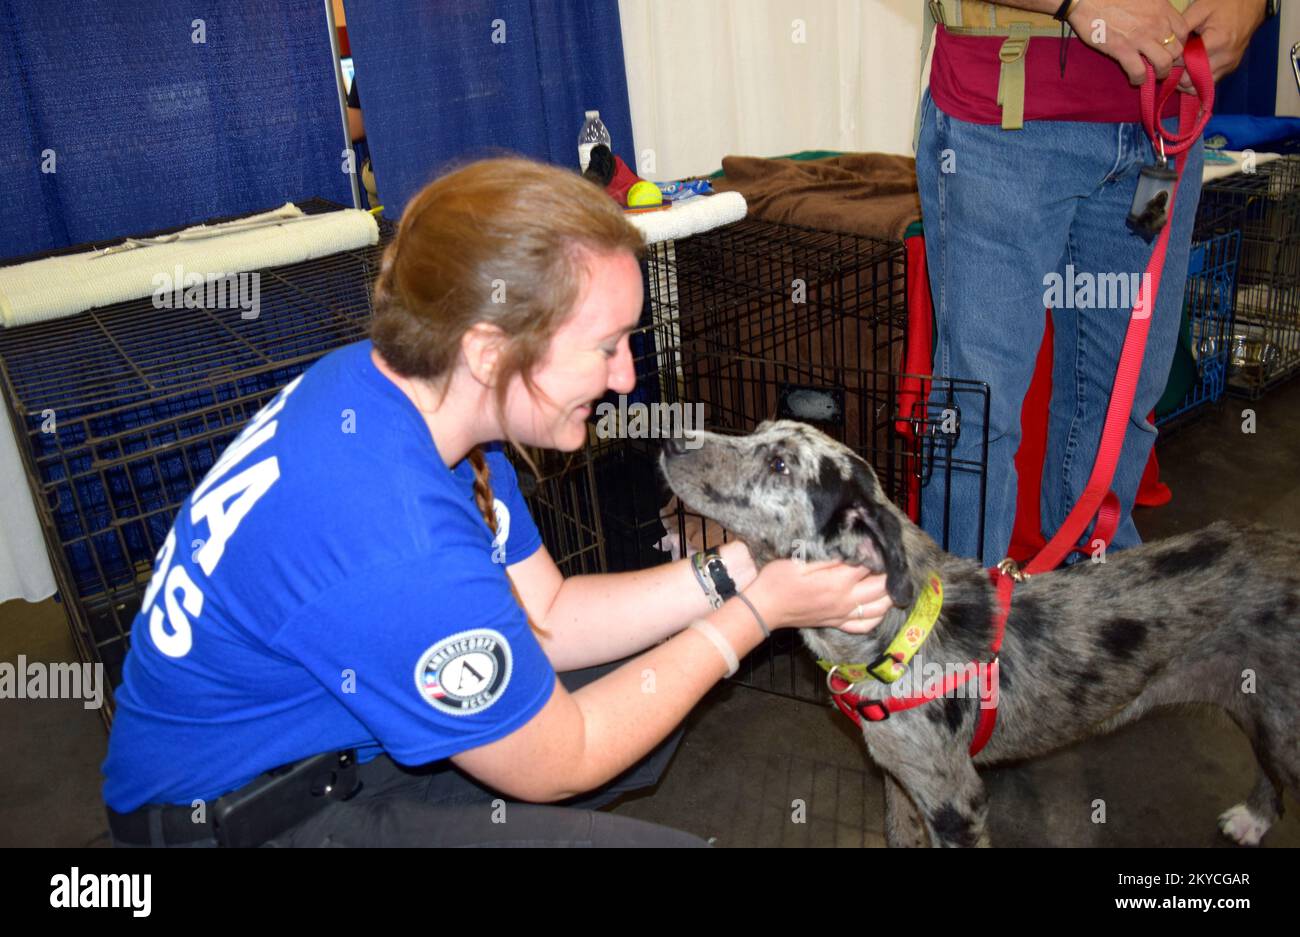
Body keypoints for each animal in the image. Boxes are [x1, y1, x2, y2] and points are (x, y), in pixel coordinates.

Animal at [660, 421, 1300, 842]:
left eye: (780, 465)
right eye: (756, 433)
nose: (668, 437)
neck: (896, 640)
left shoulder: (956, 802)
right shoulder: (902, 780)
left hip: (1282, 725)